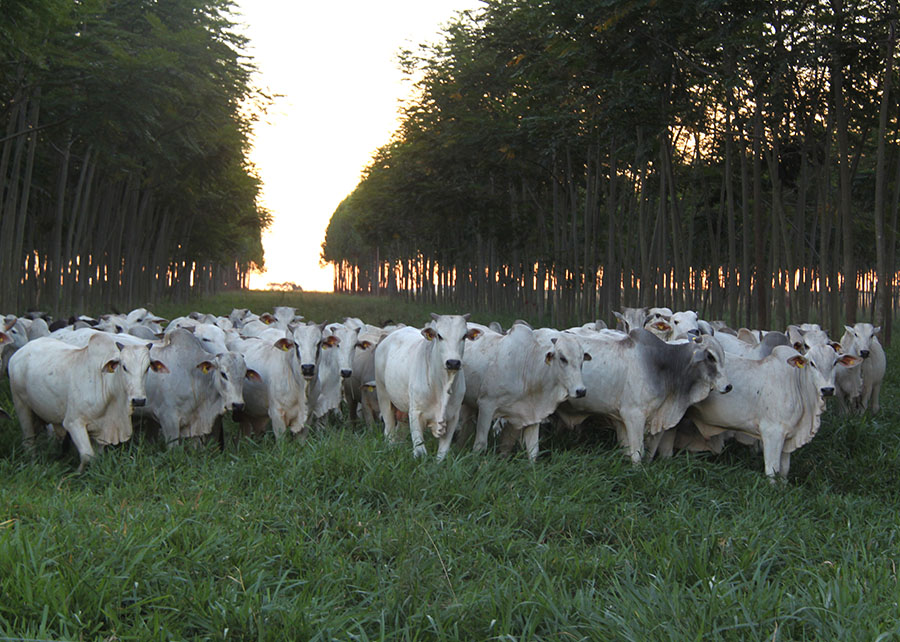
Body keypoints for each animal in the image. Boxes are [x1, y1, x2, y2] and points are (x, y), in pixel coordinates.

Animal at [8, 332, 168, 468]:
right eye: (124, 367)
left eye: (147, 368)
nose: (139, 400)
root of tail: (20, 352)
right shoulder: (73, 423)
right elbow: (87, 456)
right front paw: (78, 473)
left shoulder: (102, 429)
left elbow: (97, 456)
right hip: (21, 405)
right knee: (29, 441)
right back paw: (33, 463)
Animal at [374, 312, 482, 458]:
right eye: (439, 336)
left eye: (464, 336)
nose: (453, 362)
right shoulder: (415, 413)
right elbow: (420, 451)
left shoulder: (453, 417)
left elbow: (442, 453)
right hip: (383, 395)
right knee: (389, 430)